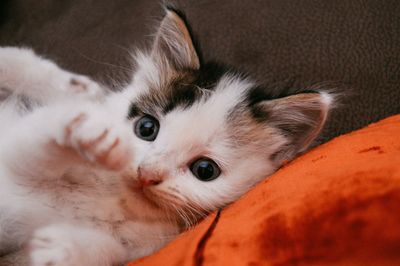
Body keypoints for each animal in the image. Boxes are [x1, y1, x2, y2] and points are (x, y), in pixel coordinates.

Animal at [0, 7, 332, 264]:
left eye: (205, 170)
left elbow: (108, 250)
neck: (110, 200)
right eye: (146, 128)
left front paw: (61, 249)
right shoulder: (13, 149)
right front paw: (91, 135)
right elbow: (32, 145)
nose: (147, 173)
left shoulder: (136, 248)